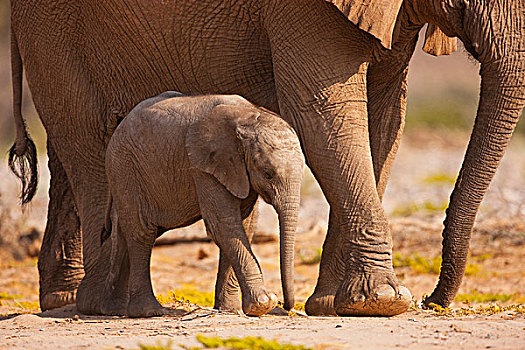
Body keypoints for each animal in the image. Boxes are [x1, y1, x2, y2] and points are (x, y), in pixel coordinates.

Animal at [101, 92, 302, 318]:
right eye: (268, 173)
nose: (287, 306)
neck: (248, 115)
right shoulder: (203, 166)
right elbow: (224, 225)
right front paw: (263, 303)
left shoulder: (239, 172)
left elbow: (244, 225)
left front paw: (230, 309)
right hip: (125, 167)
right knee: (142, 233)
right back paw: (149, 311)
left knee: (124, 233)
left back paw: (113, 310)